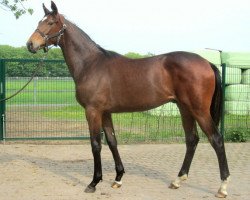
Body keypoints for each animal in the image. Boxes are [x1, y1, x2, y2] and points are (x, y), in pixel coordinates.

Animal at [26, 1, 230, 198]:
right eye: (39, 21)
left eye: (51, 22)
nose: (30, 44)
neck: (91, 64)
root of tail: (207, 63)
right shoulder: (105, 112)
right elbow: (112, 141)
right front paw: (118, 178)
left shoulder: (93, 111)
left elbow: (95, 144)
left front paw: (94, 182)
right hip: (184, 108)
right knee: (192, 140)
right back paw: (177, 180)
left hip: (199, 110)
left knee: (216, 140)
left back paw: (222, 187)